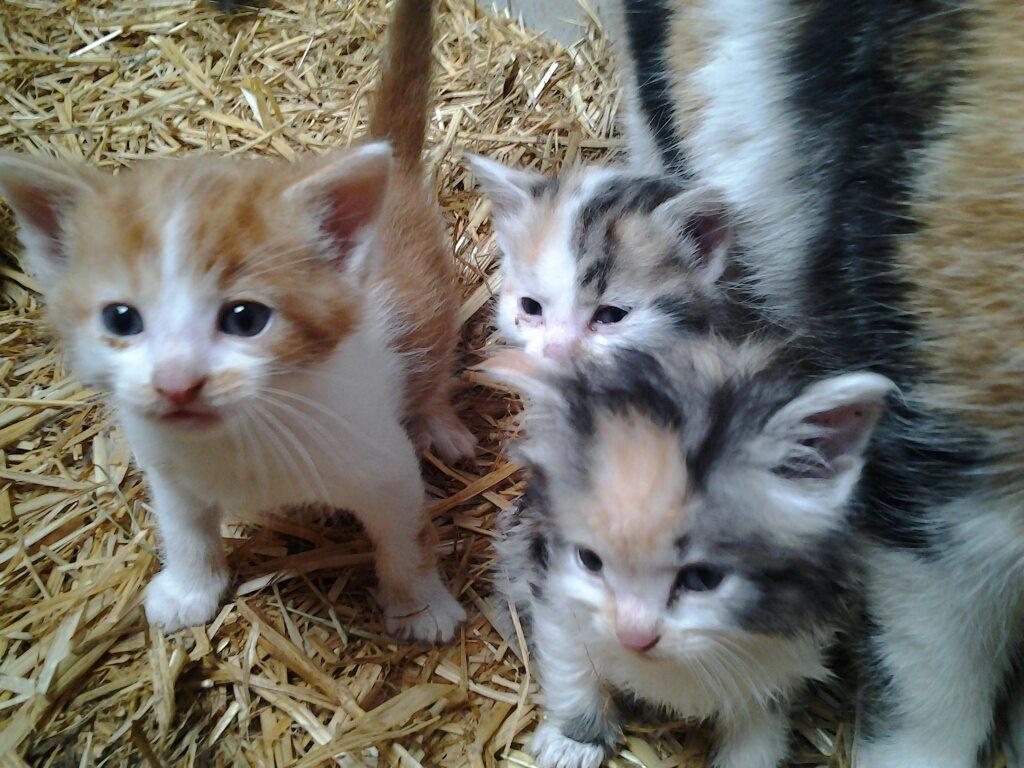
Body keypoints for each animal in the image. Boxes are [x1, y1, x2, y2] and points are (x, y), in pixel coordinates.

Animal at [0, 0, 471, 638]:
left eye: (246, 319)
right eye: (121, 319)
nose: (176, 384)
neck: (241, 436)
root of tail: (393, 168)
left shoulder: (385, 466)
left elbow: (408, 537)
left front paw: (421, 606)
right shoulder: (168, 471)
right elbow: (185, 530)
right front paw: (188, 590)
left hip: (432, 307)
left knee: (436, 363)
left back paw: (442, 423)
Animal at [483, 344, 892, 768]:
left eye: (703, 578)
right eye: (590, 561)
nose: (634, 637)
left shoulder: (789, 648)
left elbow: (760, 726)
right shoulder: (548, 582)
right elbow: (570, 663)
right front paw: (575, 739)